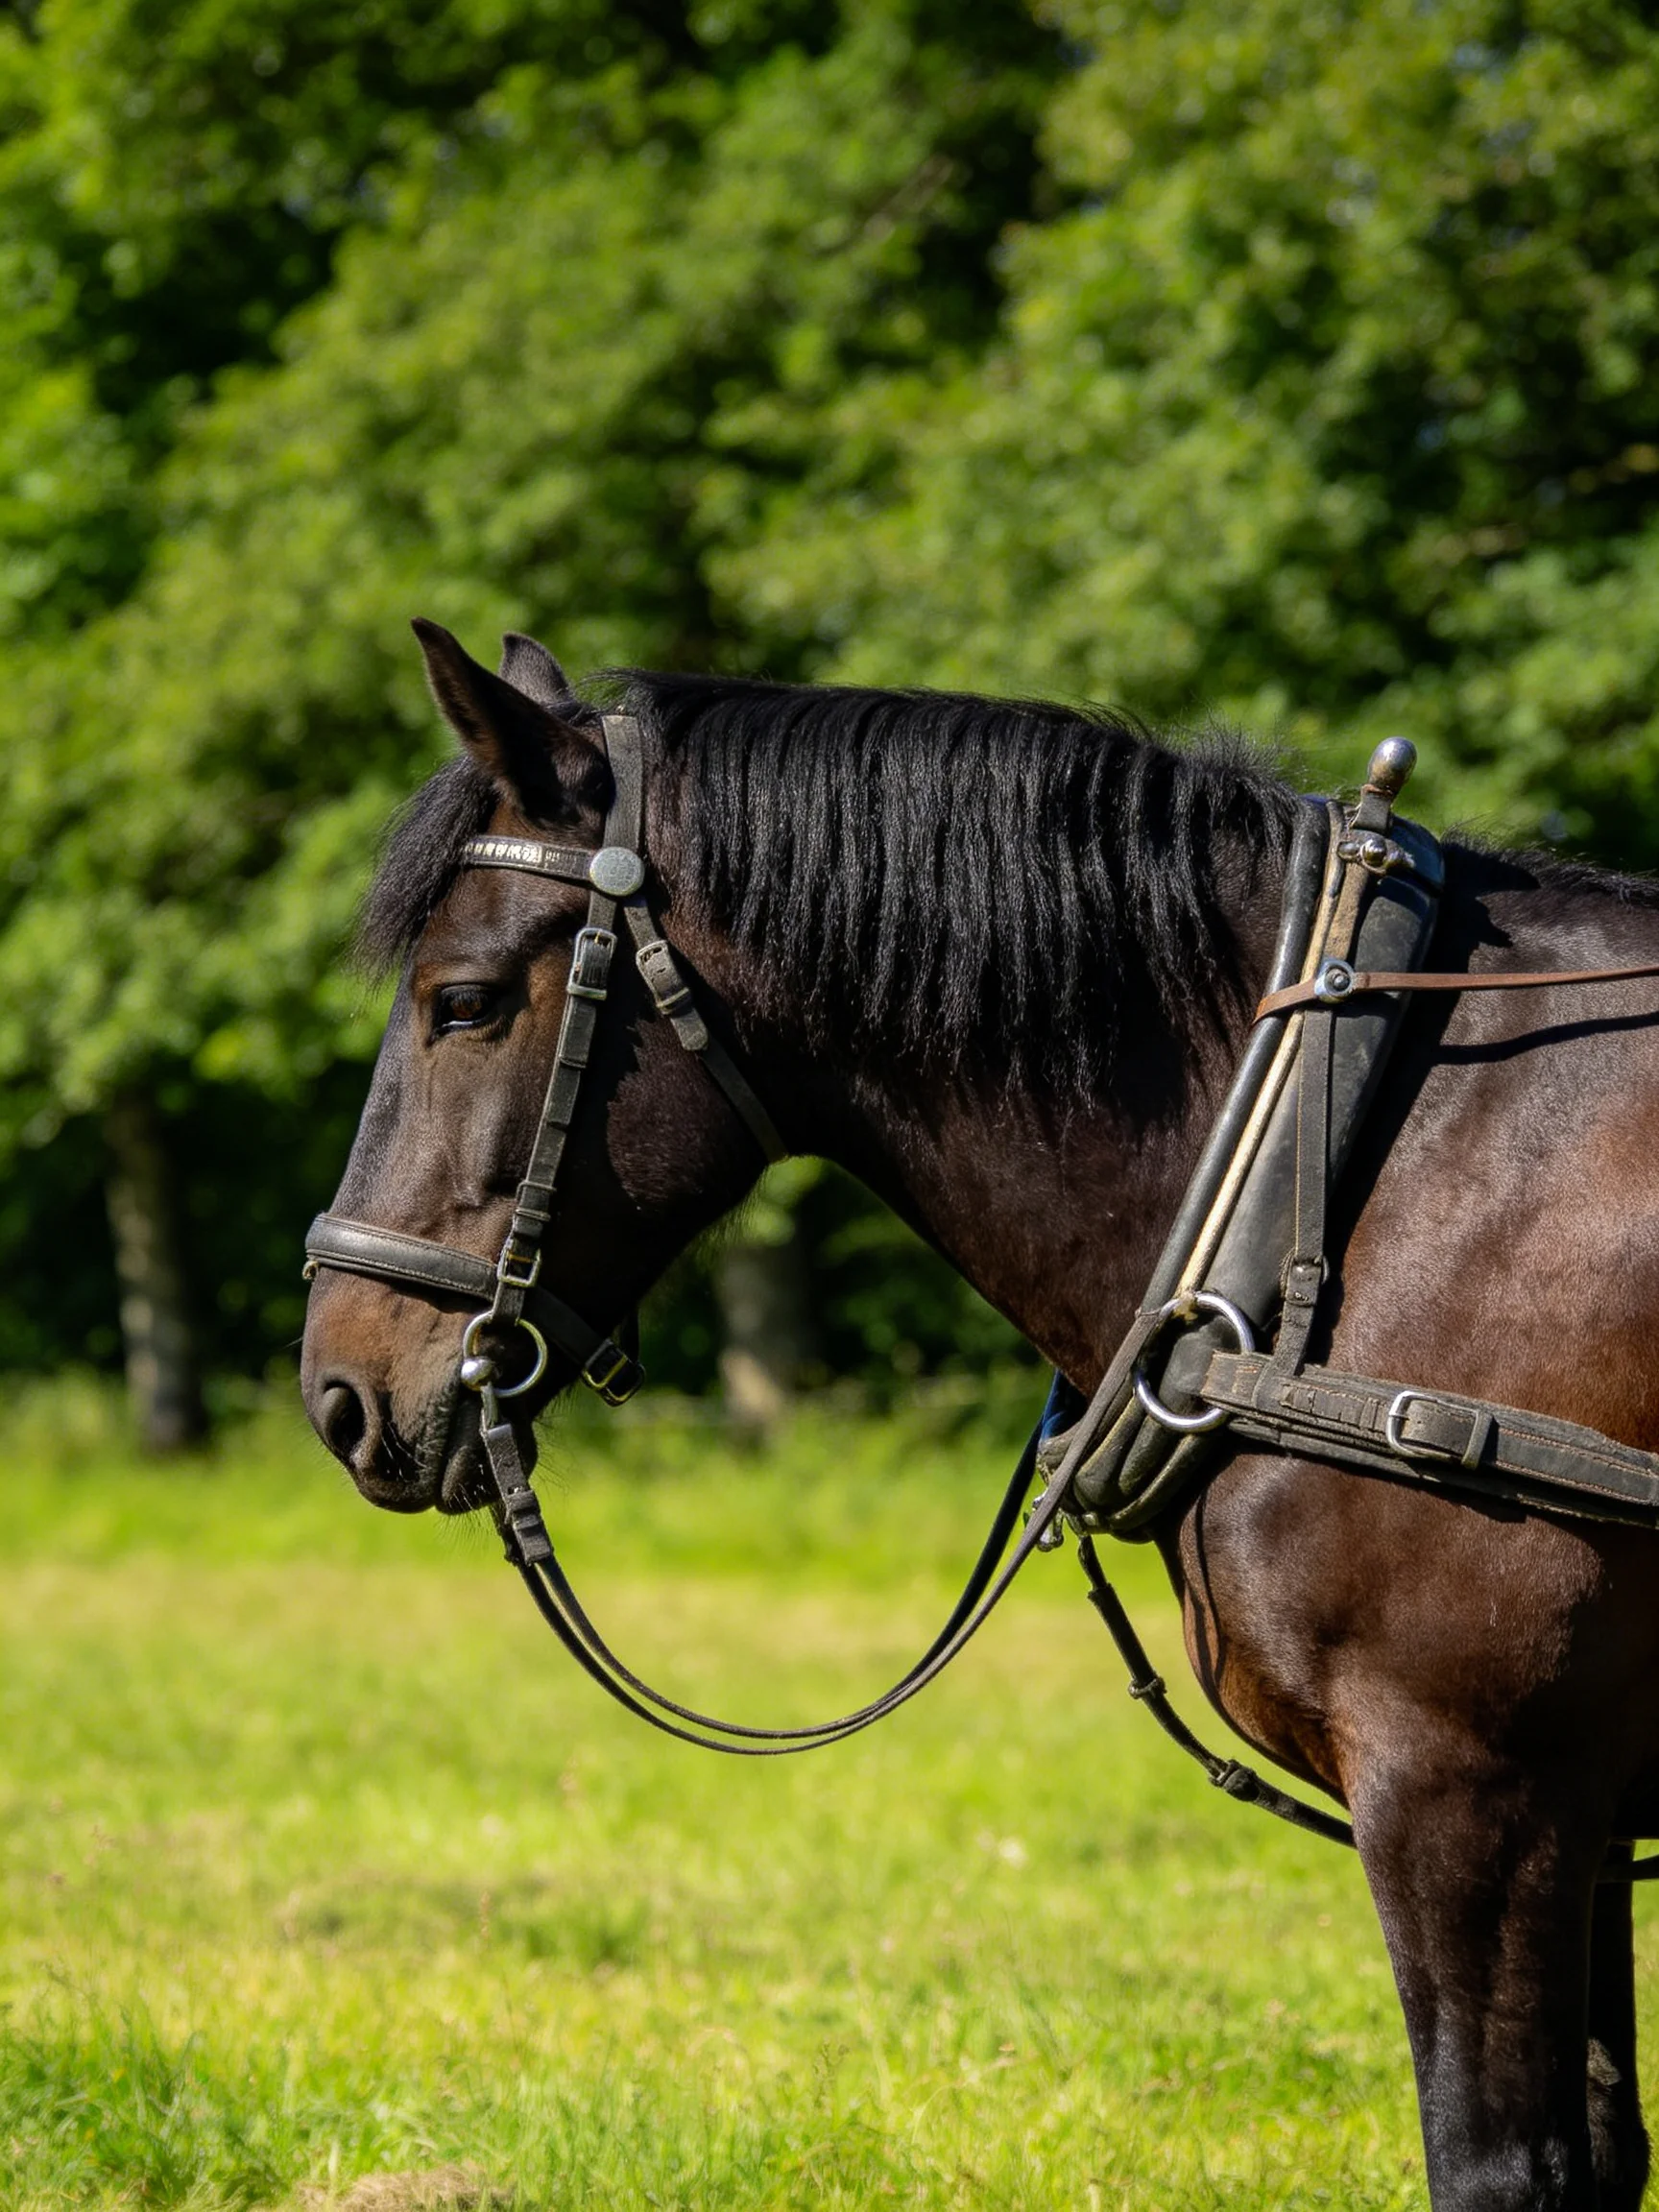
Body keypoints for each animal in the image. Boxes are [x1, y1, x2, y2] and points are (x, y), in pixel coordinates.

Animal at [301, 618, 1659, 2211]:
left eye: (461, 1003)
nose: (339, 1388)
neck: (1352, 1169)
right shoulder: (1576, 1814)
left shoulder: (1470, 1795)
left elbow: (1502, 2168)